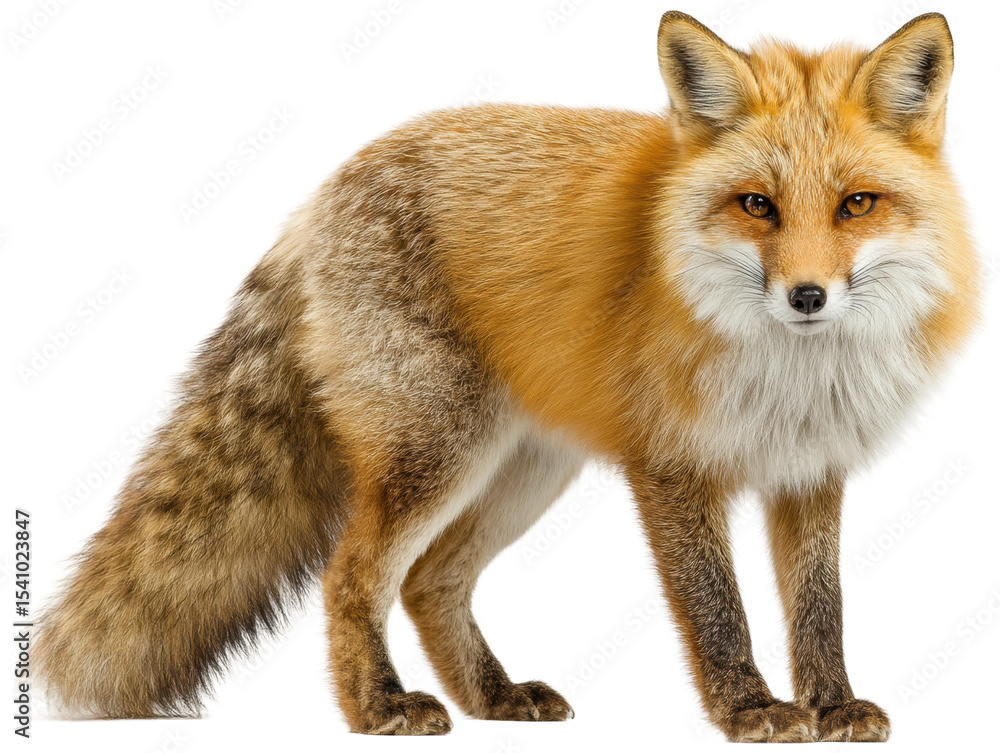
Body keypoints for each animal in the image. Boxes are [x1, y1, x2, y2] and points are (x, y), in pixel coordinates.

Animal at [36, 10, 979, 743]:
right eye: (757, 205)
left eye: (856, 204)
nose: (808, 295)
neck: (791, 373)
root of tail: (322, 192)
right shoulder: (672, 468)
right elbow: (720, 608)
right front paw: (749, 708)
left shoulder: (810, 470)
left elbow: (820, 609)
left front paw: (833, 705)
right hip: (438, 455)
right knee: (353, 575)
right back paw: (376, 705)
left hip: (522, 472)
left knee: (430, 581)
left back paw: (491, 695)